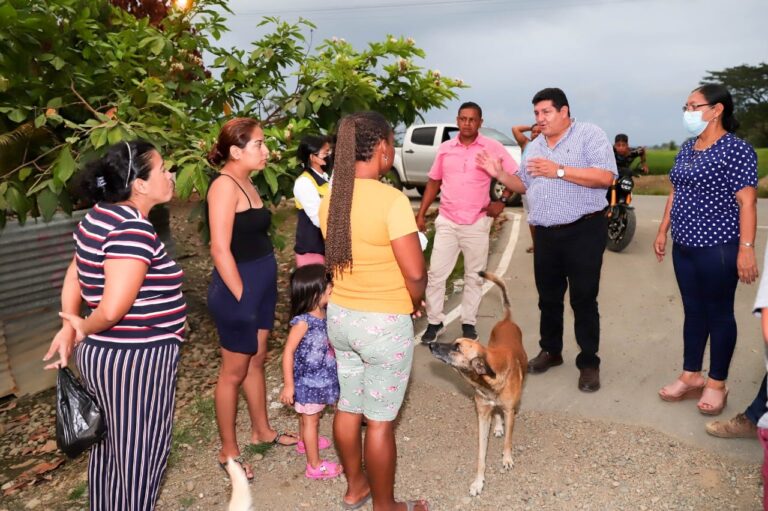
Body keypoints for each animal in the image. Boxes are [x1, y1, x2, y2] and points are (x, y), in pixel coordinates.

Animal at [426, 272, 528, 496]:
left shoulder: (510, 411)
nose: (431, 345)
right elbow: (481, 454)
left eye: (457, 348)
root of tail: (506, 320)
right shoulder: (482, 415)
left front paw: (507, 458)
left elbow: (508, 440)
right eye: (453, 343)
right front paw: (478, 482)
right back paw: (497, 426)